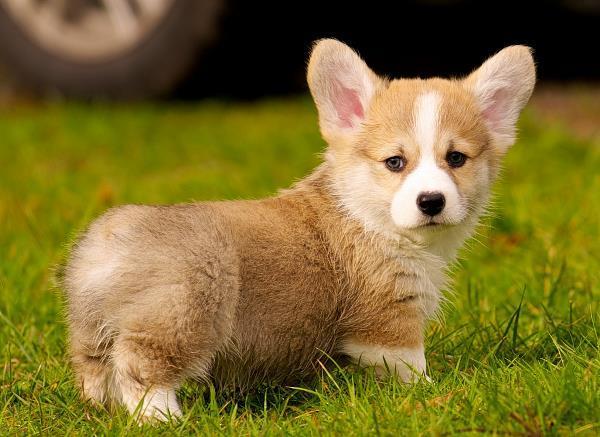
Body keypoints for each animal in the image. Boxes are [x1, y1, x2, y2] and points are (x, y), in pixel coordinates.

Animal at [64, 40, 536, 418]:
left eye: (456, 158)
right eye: (395, 162)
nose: (432, 201)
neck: (369, 218)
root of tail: (104, 246)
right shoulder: (388, 321)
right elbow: (411, 368)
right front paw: (434, 395)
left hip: (92, 330)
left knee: (97, 371)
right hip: (186, 308)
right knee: (140, 369)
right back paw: (165, 419)